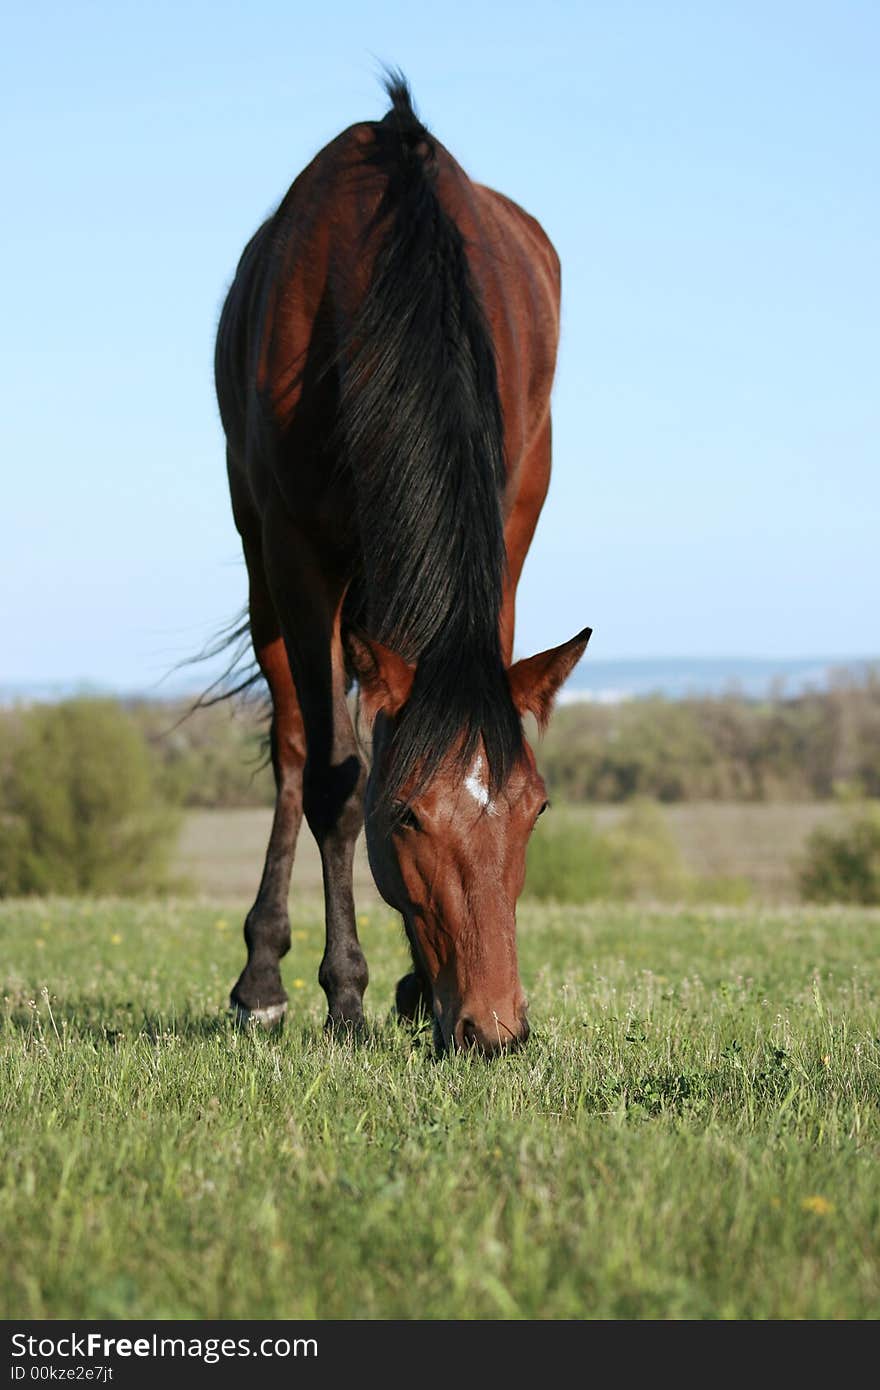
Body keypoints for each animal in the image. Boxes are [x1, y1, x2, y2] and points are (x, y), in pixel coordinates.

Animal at [212, 76, 589, 1050]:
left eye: (536, 809)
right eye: (406, 816)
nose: (496, 1028)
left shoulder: (506, 525)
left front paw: (416, 987)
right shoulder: (295, 550)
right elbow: (336, 780)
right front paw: (345, 995)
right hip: (262, 562)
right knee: (296, 748)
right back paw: (264, 976)